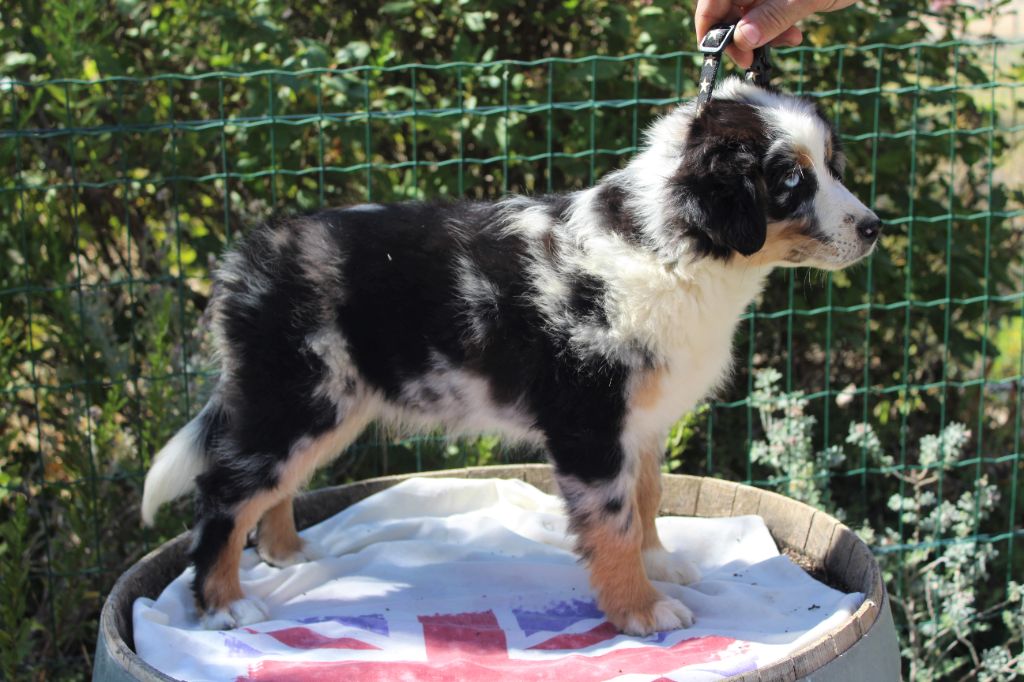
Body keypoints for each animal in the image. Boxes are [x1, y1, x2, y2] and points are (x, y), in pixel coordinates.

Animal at [141, 76, 881, 635]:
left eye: (832, 166)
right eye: (790, 179)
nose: (875, 228)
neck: (669, 248)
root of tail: (243, 258)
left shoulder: (638, 423)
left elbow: (645, 497)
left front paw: (659, 562)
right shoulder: (589, 423)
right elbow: (613, 520)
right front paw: (641, 609)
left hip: (327, 407)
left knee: (273, 490)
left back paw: (290, 552)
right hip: (296, 398)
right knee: (224, 494)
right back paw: (224, 605)